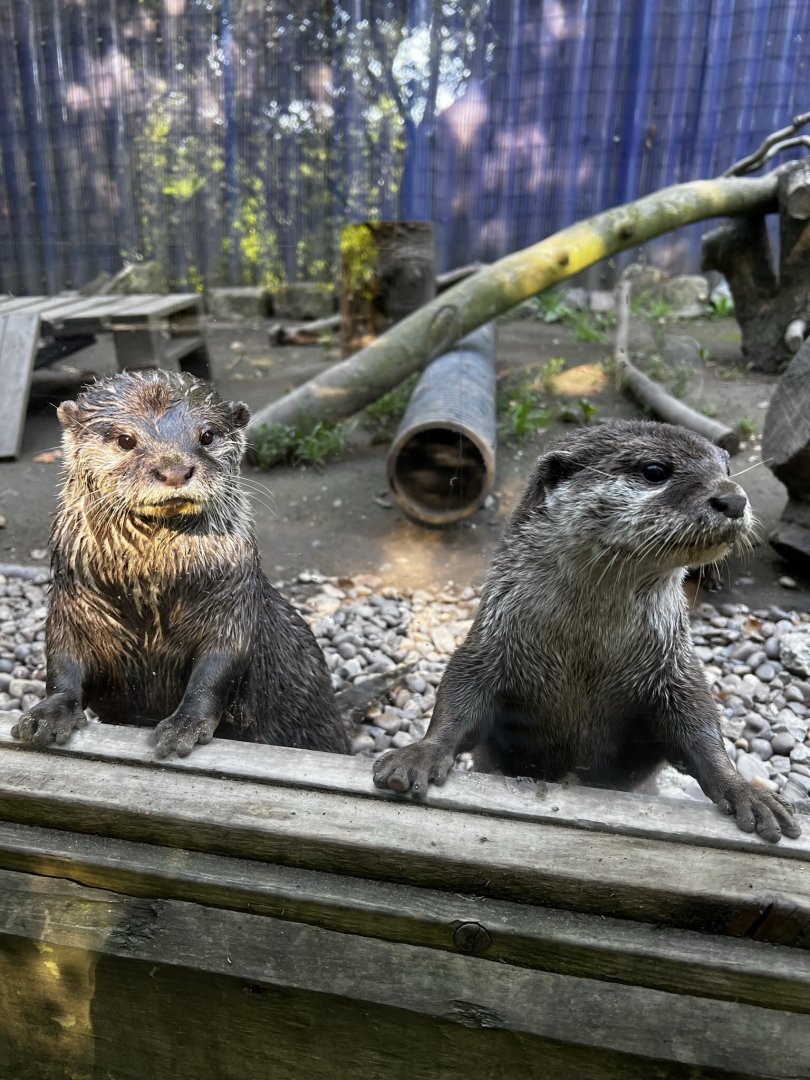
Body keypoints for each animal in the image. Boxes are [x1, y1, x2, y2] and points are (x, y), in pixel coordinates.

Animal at [11, 370, 348, 758]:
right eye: (125, 439)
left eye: (207, 435)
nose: (174, 470)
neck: (152, 586)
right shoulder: (73, 603)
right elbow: (62, 663)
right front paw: (46, 716)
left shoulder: (232, 604)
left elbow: (216, 669)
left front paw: (184, 726)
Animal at [374, 420, 801, 843]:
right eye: (655, 471)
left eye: (726, 470)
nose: (733, 499)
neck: (586, 649)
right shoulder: (490, 643)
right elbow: (458, 699)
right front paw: (421, 754)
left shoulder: (674, 668)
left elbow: (700, 729)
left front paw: (745, 791)